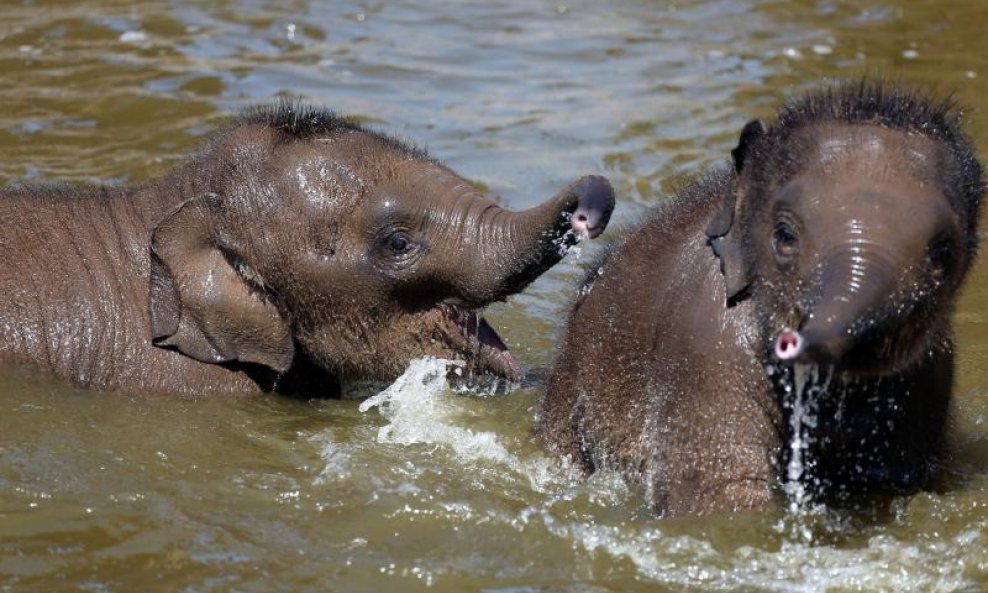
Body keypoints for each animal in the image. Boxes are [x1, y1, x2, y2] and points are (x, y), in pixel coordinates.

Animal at [536, 81, 984, 516]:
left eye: (943, 253)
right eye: (784, 236)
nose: (794, 341)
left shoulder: (930, 377)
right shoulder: (706, 345)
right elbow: (720, 495)